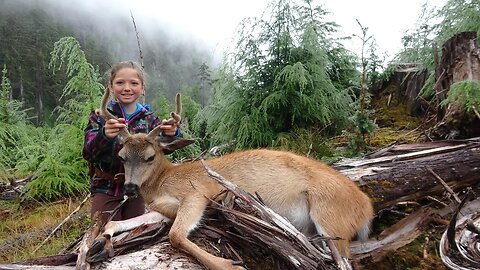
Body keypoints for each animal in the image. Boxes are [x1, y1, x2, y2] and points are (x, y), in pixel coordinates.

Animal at [97, 89, 376, 270]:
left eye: (150, 156)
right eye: (122, 156)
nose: (130, 188)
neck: (161, 183)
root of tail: (367, 207)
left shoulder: (198, 192)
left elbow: (176, 235)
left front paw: (229, 265)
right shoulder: (163, 209)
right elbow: (113, 223)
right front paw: (102, 243)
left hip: (331, 218)